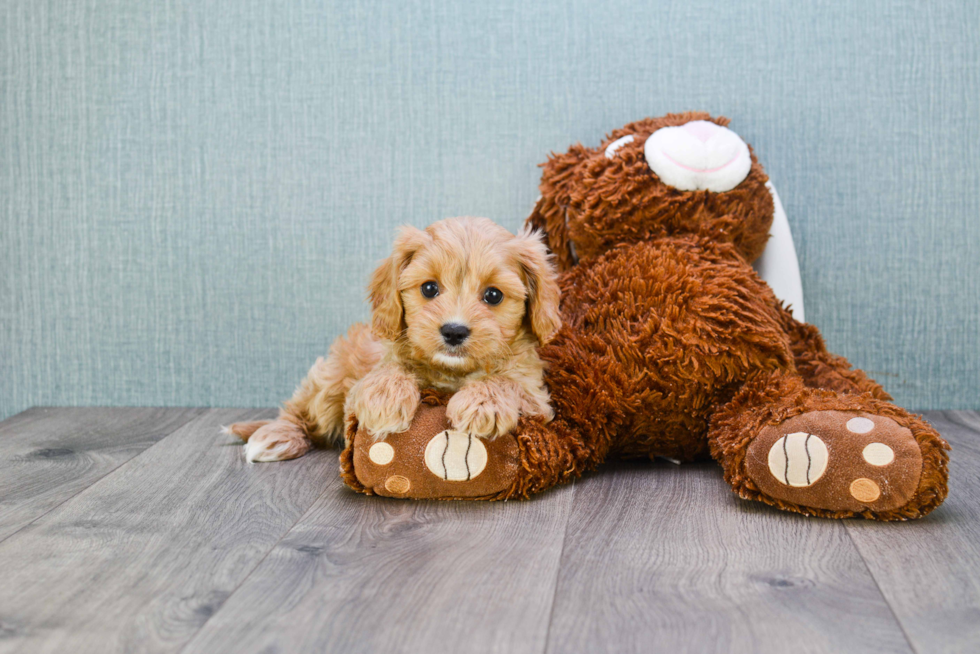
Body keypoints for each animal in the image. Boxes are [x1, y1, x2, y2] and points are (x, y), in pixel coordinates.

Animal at [223, 215, 560, 462]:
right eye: (429, 288)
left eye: (493, 295)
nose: (454, 330)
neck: (451, 372)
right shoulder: (362, 380)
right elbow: (388, 370)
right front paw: (386, 397)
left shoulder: (537, 398)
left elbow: (506, 382)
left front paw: (482, 403)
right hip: (329, 379)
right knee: (300, 411)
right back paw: (276, 436)